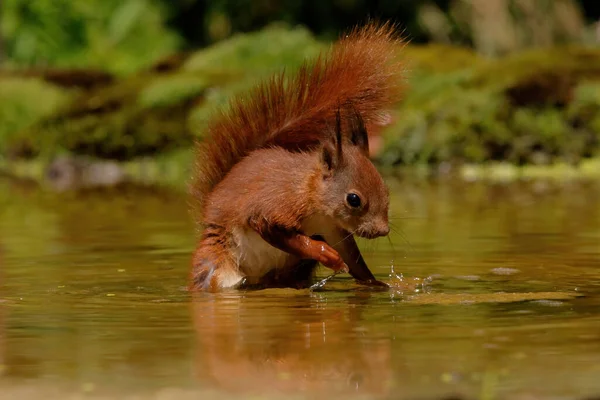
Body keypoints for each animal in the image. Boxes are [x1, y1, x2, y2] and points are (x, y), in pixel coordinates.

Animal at [190, 22, 406, 290]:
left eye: (386, 189)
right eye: (353, 199)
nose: (382, 230)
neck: (312, 194)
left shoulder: (335, 230)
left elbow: (356, 262)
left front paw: (377, 284)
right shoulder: (271, 207)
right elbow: (287, 236)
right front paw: (327, 254)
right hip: (217, 262)